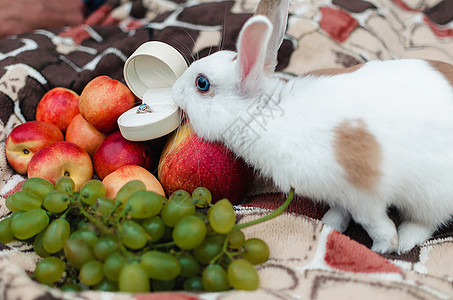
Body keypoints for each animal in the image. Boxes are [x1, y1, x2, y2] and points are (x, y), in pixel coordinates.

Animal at [171, 0, 452, 254]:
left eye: (202, 83)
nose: (174, 90)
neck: (269, 113)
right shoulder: (339, 193)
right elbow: (340, 211)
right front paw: (329, 225)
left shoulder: (362, 194)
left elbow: (373, 222)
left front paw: (384, 246)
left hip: (431, 194)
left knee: (427, 222)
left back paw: (404, 242)